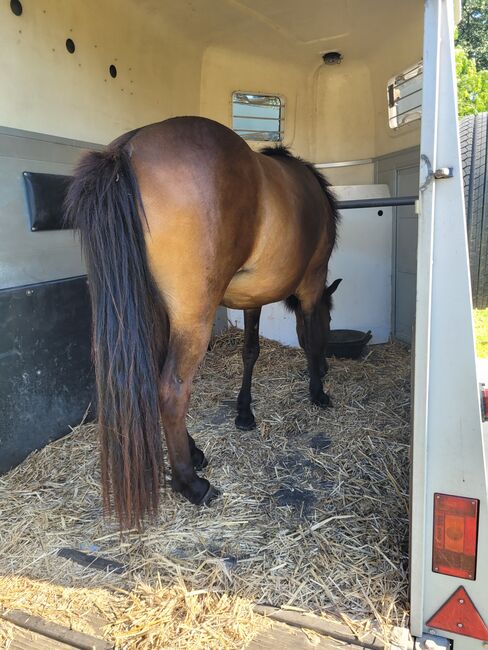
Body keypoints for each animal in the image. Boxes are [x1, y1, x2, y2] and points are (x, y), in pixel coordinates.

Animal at [65, 115, 340, 528]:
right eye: (331, 317)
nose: (326, 368)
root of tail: (127, 148)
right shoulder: (311, 283)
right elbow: (307, 337)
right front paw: (317, 391)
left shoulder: (251, 298)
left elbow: (251, 350)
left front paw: (244, 412)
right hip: (192, 318)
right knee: (171, 390)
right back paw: (190, 483)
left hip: (153, 313)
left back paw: (193, 453)